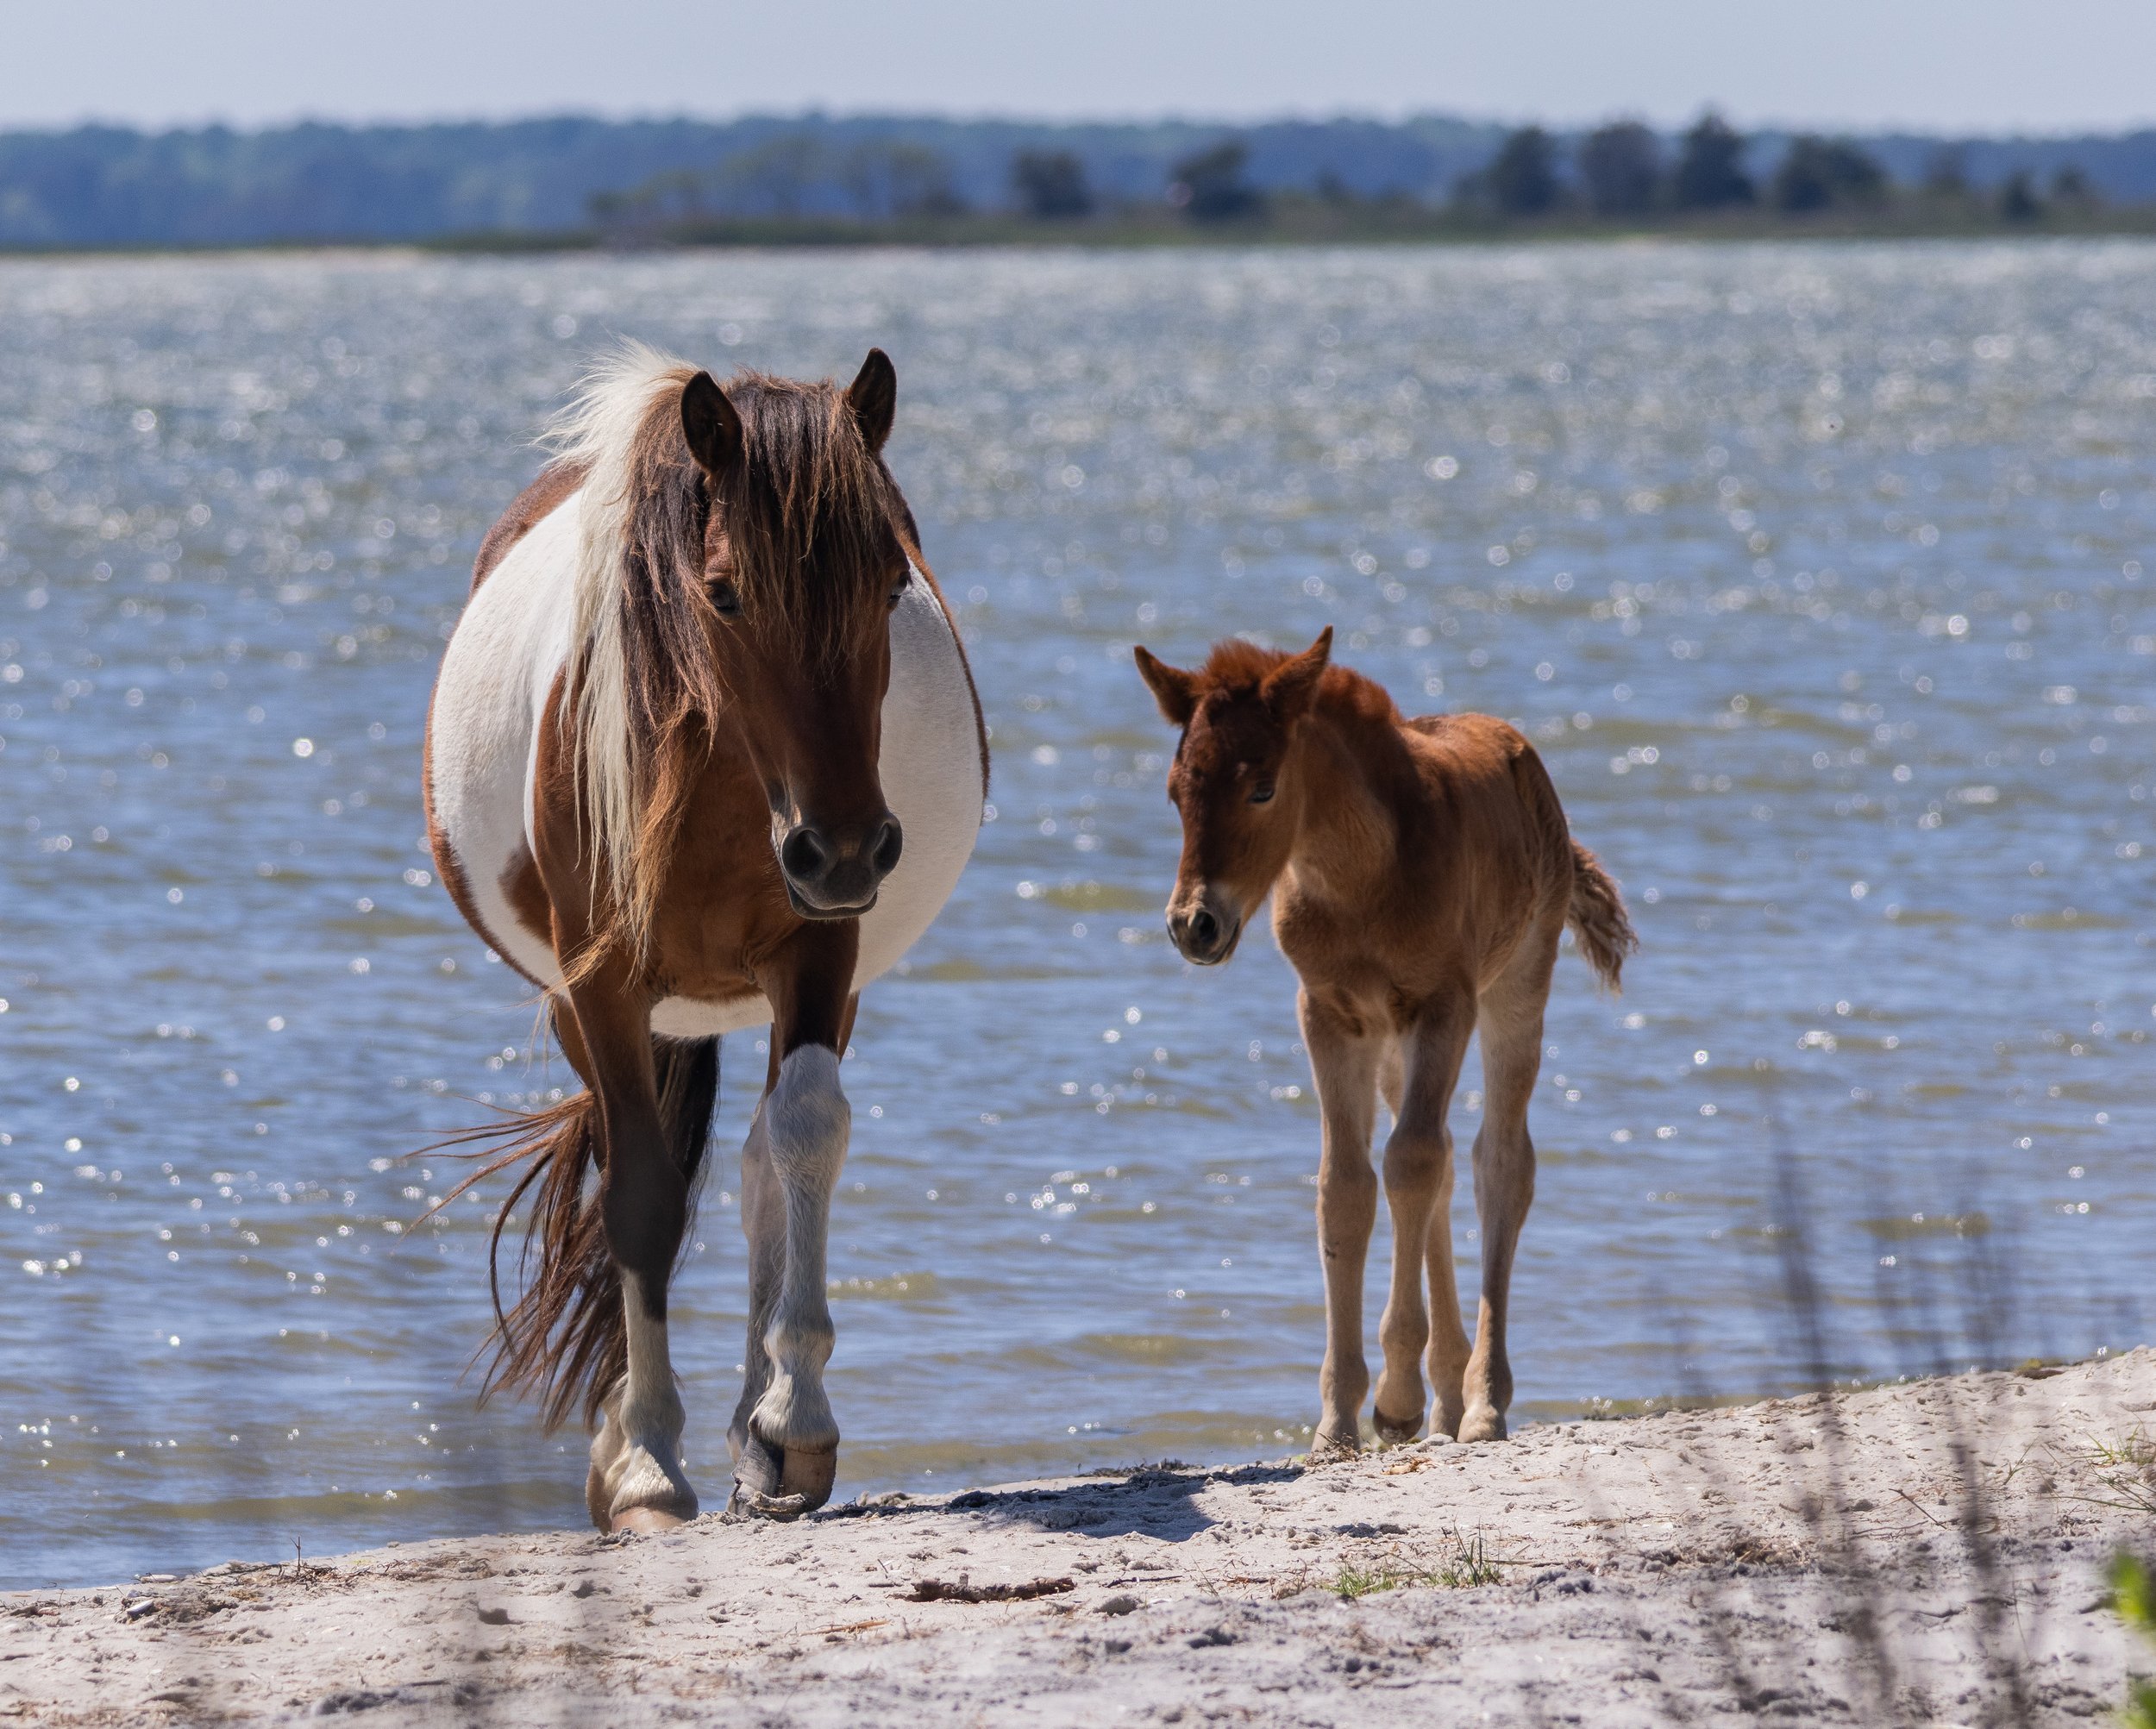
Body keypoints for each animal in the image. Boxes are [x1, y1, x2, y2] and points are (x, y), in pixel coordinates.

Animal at [424, 344, 987, 1528]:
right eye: (722, 592)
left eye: (890, 583)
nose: (848, 847)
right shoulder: (601, 985)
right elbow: (640, 1196)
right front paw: (641, 1459)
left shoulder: (819, 956)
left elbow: (805, 1135)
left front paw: (792, 1423)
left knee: (769, 1154)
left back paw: (758, 1431)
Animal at [1133, 628, 1634, 1452]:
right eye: (1176, 792)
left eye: (1262, 788)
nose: (1193, 925)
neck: (1356, 880)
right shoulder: (1330, 1014)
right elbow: (1346, 1185)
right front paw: (1339, 1420)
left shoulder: (1443, 1005)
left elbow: (1410, 1164)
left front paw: (1395, 1400)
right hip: (1396, 1044)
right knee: (1445, 1165)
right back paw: (1449, 1395)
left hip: (1516, 986)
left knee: (1498, 1160)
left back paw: (1483, 1399)